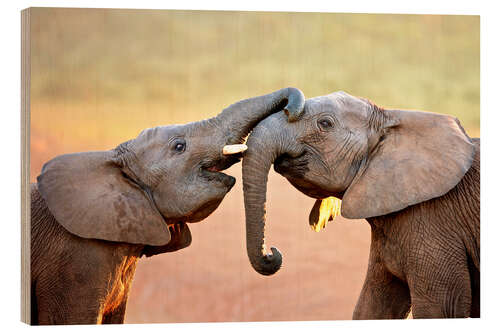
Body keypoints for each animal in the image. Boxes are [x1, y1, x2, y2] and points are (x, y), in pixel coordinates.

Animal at [242, 91, 480, 320]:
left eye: (325, 123)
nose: (272, 253)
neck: (391, 118)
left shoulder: (435, 220)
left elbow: (441, 308)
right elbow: (373, 307)